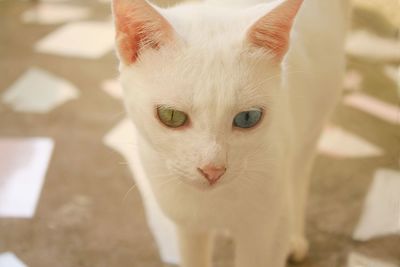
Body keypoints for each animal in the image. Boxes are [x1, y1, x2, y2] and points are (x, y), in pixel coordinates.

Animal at [111, 0, 348, 266]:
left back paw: (295, 239)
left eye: (247, 118)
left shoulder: (266, 233)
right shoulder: (189, 228)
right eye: (171, 116)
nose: (212, 170)